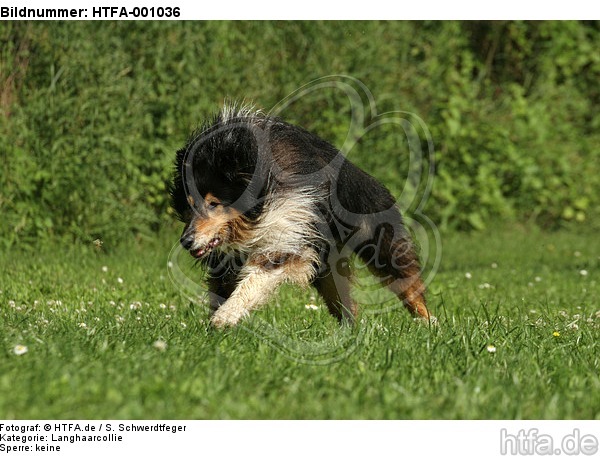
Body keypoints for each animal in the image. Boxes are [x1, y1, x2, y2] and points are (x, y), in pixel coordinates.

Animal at [171, 103, 434, 328]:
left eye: (214, 203)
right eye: (190, 205)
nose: (186, 241)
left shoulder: (287, 228)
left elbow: (256, 278)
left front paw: (224, 317)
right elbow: (223, 287)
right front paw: (218, 320)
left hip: (376, 238)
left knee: (407, 282)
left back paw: (430, 324)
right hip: (327, 264)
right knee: (344, 303)